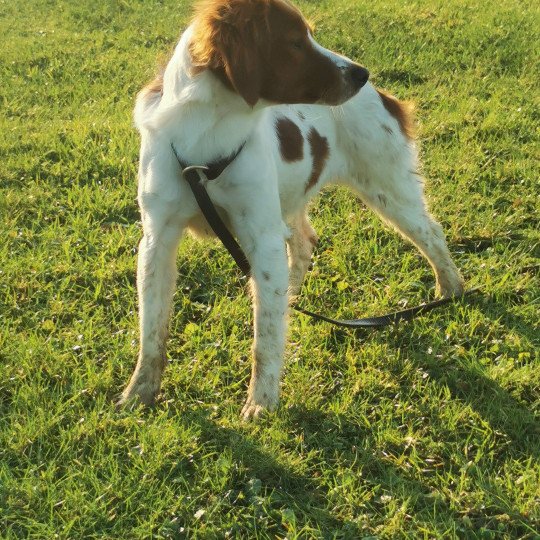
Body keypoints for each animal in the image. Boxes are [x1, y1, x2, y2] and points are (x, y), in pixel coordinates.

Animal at [118, 0, 464, 418]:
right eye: (296, 42)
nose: (361, 74)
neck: (207, 135)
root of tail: (382, 95)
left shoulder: (261, 236)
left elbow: (264, 337)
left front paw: (261, 403)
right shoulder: (158, 238)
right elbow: (151, 330)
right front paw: (139, 392)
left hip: (389, 189)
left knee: (431, 232)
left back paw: (451, 288)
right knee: (303, 244)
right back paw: (293, 296)